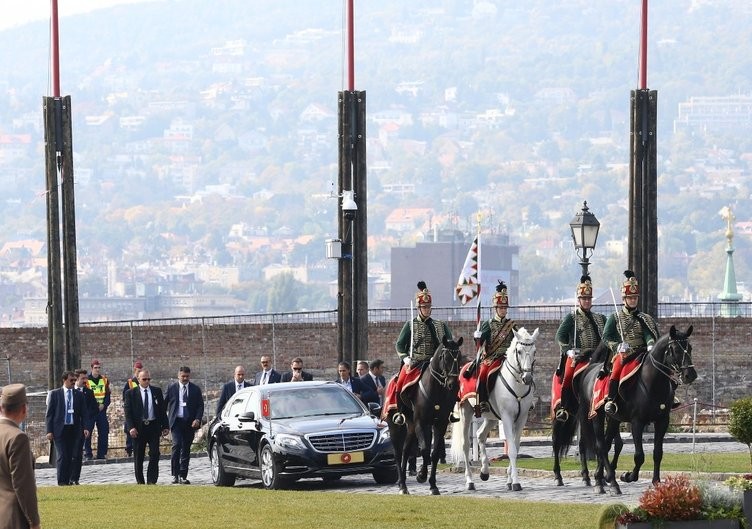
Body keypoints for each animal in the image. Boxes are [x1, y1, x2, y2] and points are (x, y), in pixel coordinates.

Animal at [450, 326, 536, 490]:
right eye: (519, 351)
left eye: (534, 351)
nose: (527, 378)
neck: (517, 385)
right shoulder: (507, 417)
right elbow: (512, 450)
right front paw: (516, 482)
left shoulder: (522, 418)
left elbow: (516, 447)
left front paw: (509, 480)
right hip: (466, 412)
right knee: (465, 445)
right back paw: (470, 481)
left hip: (492, 417)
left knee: (480, 435)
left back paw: (484, 471)